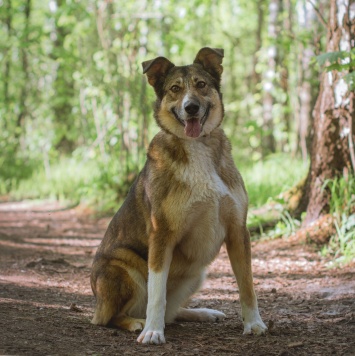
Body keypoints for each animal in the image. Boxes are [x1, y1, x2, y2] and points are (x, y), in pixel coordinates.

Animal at [90, 48, 268, 344]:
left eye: (201, 84)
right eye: (175, 89)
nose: (191, 107)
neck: (197, 147)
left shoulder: (237, 230)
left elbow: (247, 285)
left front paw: (253, 323)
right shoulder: (161, 235)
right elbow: (157, 293)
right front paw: (152, 331)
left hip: (196, 274)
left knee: (172, 314)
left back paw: (201, 313)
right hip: (124, 268)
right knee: (110, 318)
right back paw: (137, 322)